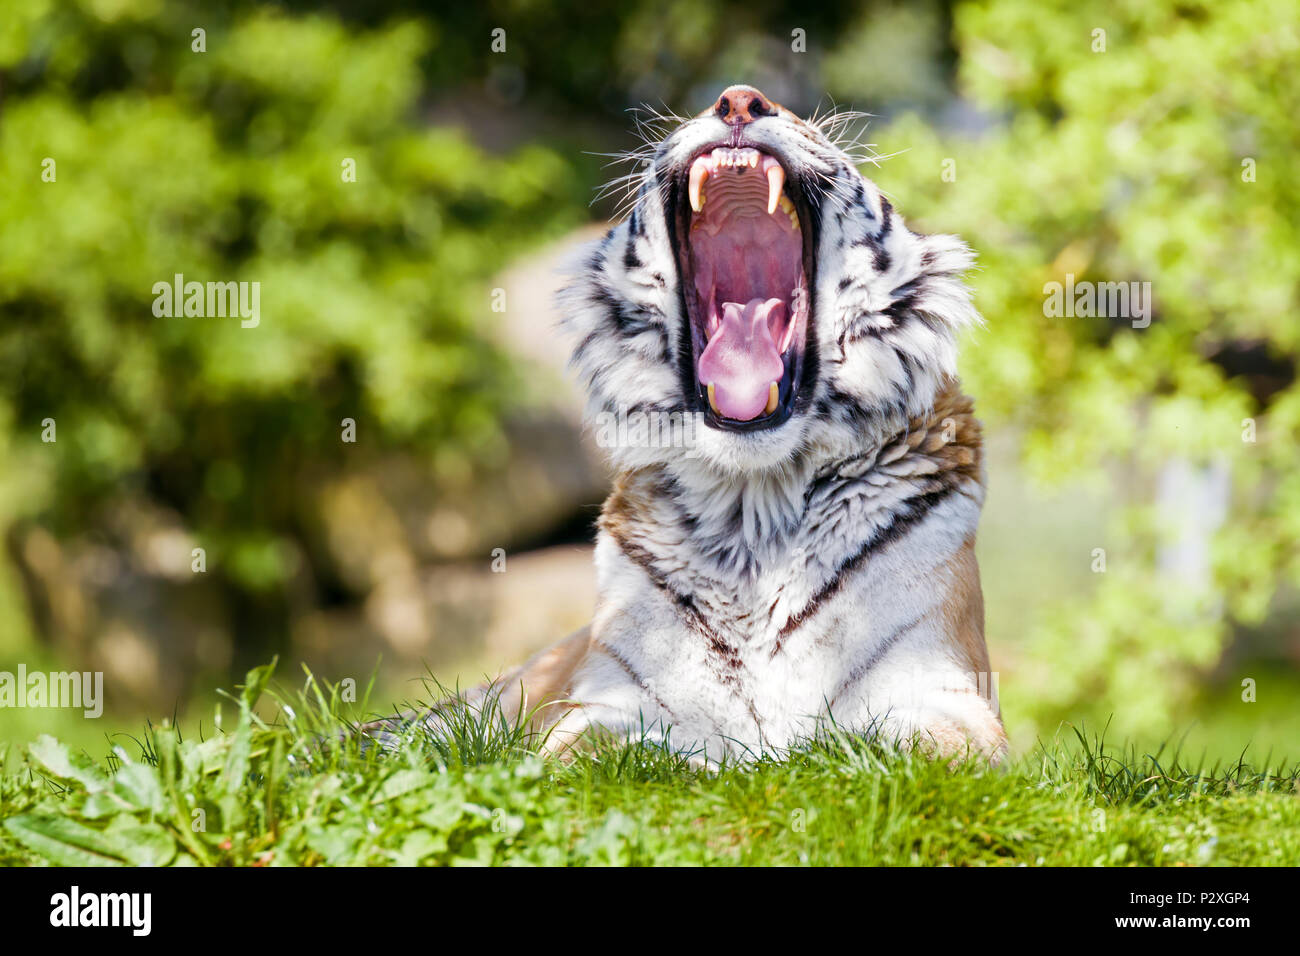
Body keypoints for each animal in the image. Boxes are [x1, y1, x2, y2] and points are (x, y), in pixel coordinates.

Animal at [380, 85, 1006, 764]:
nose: (737, 99)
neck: (754, 511)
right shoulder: (606, 706)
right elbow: (590, 756)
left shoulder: (942, 691)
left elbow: (923, 749)